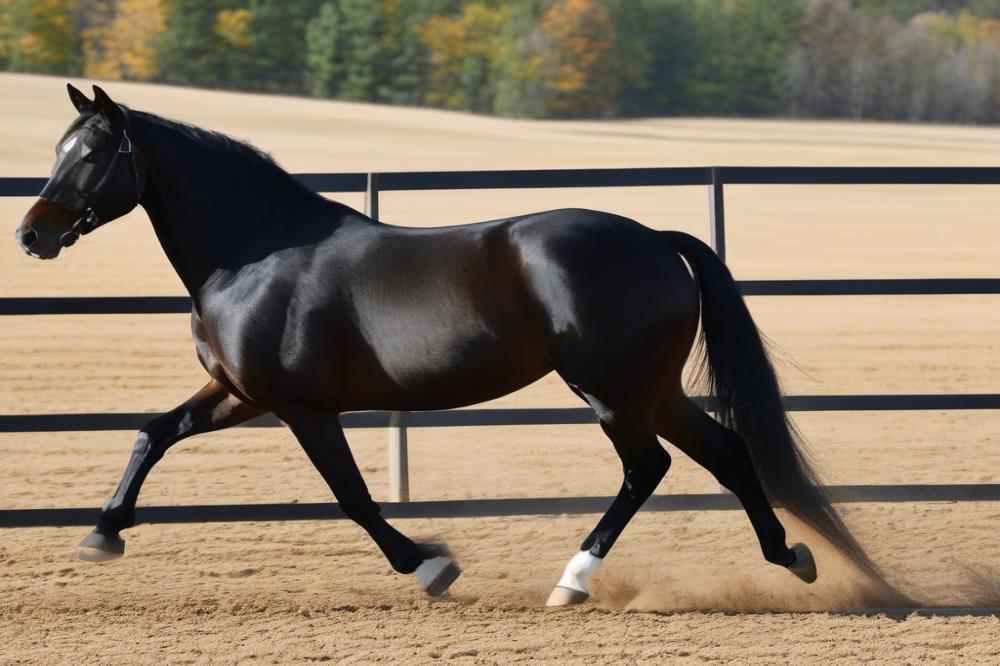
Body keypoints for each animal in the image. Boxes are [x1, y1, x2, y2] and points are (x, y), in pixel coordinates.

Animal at [15, 84, 880, 600]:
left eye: (91, 153)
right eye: (58, 148)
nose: (32, 235)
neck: (255, 251)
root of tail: (654, 242)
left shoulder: (299, 406)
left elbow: (352, 496)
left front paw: (430, 564)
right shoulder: (240, 394)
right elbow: (153, 432)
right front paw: (101, 535)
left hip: (611, 391)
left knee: (649, 468)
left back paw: (573, 579)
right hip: (652, 389)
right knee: (726, 453)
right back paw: (791, 558)